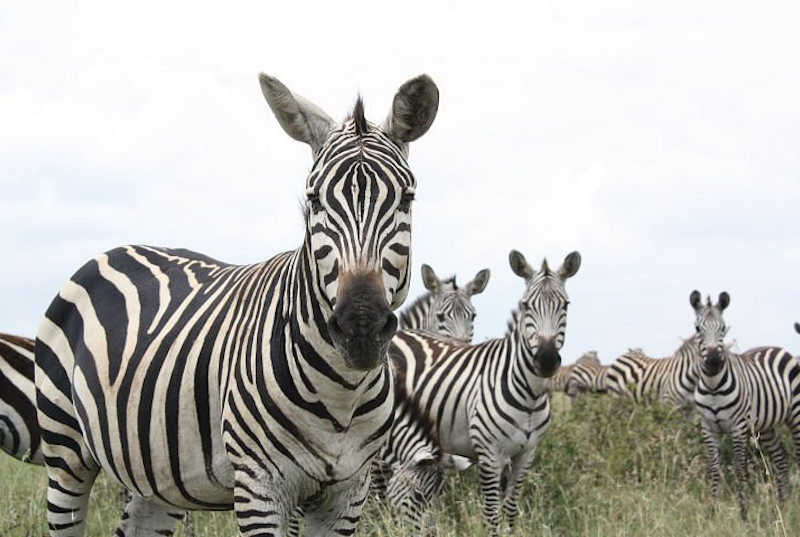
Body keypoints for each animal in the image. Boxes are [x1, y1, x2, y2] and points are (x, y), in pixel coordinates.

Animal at [34, 72, 440, 536]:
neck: (343, 393)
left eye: (407, 199)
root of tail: (113, 250)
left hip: (152, 474)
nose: (360, 326)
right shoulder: (260, 486)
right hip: (64, 447)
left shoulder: (348, 493)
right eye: (314, 200)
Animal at [390, 249, 580, 532]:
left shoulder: (526, 454)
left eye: (565, 305)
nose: (546, 359)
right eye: (526, 305)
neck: (530, 395)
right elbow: (492, 513)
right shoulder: (490, 453)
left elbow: (510, 509)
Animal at [688, 292, 800, 516]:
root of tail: (778, 348)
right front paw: (712, 513)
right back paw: (782, 505)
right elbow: (713, 470)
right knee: (781, 458)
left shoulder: (738, 426)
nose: (713, 362)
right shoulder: (708, 428)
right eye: (697, 328)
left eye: (723, 328)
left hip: (796, 414)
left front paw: (743, 514)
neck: (713, 387)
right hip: (764, 427)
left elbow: (740, 469)